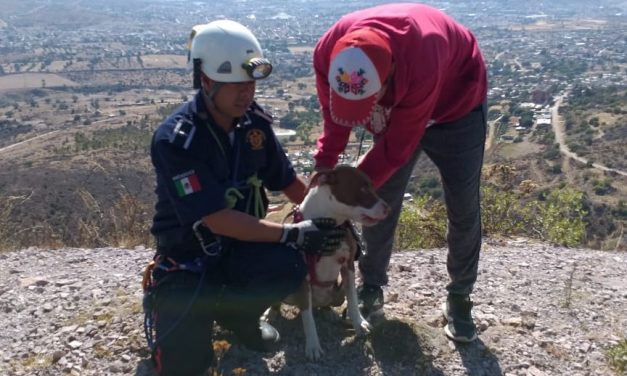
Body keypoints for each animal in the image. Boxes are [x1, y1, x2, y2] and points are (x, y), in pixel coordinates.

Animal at [270, 166, 388, 360]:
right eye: (363, 188)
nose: (388, 209)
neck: (328, 223)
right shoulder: (303, 277)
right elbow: (308, 318)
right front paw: (313, 346)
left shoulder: (348, 266)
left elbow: (353, 300)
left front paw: (359, 324)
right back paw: (270, 314)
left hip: (336, 293)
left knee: (326, 305)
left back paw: (328, 313)